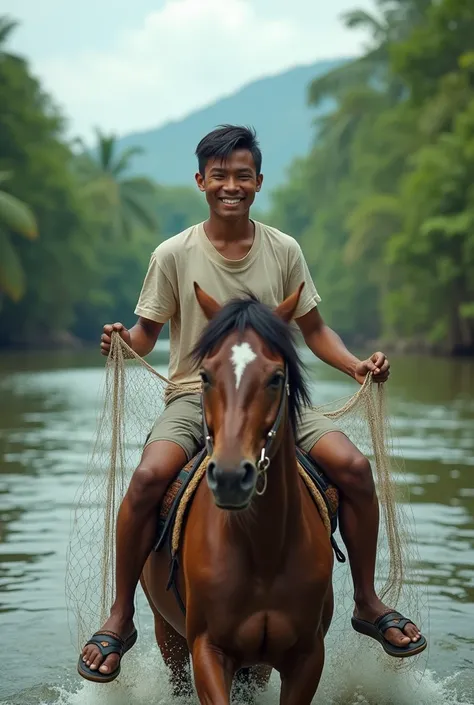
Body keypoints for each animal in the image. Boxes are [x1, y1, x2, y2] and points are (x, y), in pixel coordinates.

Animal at [141, 284, 334, 700]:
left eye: (276, 378)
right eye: (205, 376)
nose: (230, 477)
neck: (264, 548)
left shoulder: (307, 656)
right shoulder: (208, 650)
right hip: (167, 634)